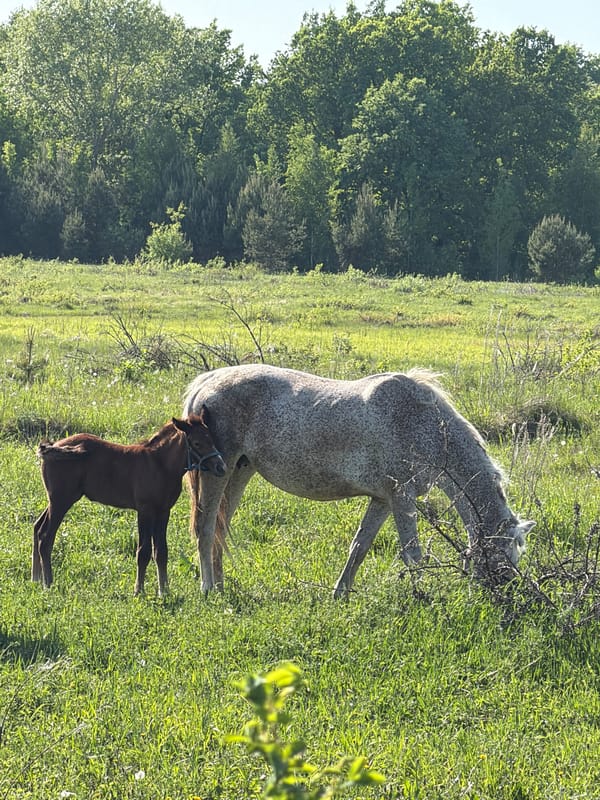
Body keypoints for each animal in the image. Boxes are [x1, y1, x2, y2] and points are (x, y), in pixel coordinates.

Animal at [32, 410, 227, 596]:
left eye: (212, 439)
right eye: (196, 443)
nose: (221, 467)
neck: (160, 465)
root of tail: (53, 446)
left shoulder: (163, 511)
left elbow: (161, 551)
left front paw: (164, 590)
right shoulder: (145, 510)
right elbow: (143, 551)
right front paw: (139, 590)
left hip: (56, 500)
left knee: (37, 526)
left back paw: (36, 578)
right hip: (61, 500)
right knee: (45, 536)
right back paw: (48, 583)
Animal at [183, 364, 534, 598]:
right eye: (505, 554)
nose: (505, 594)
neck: (423, 426)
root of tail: (207, 383)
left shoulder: (383, 499)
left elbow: (360, 546)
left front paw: (341, 593)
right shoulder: (402, 497)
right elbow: (413, 554)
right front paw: (423, 597)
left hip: (240, 471)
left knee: (220, 528)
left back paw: (221, 586)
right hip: (216, 473)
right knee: (205, 527)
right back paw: (207, 588)